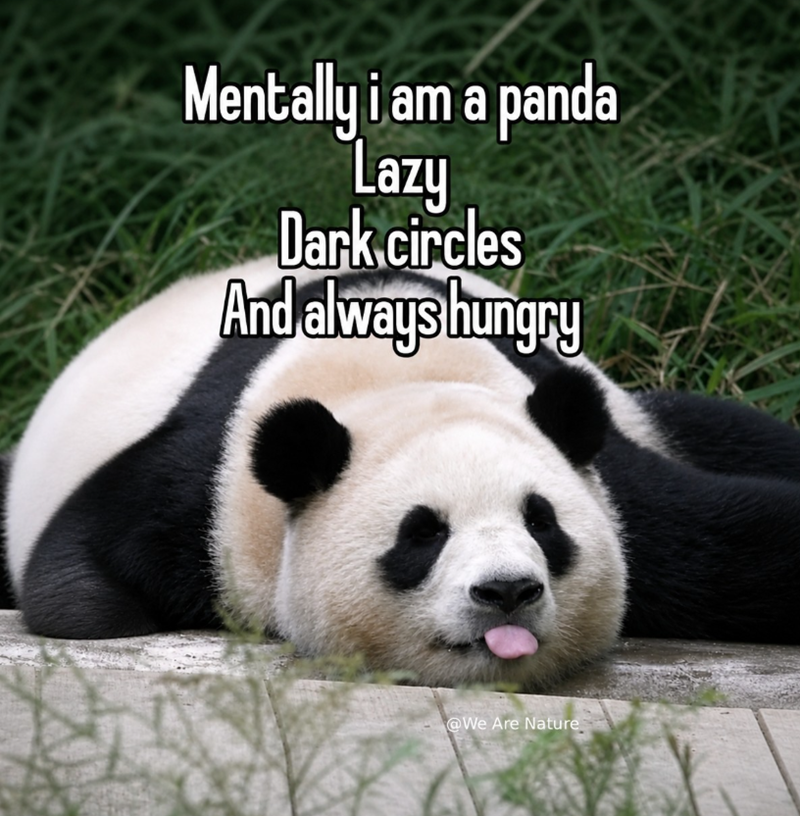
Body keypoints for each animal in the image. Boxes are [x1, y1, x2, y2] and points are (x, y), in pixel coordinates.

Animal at [2, 259, 799, 688]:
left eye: (542, 521)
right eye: (422, 535)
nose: (507, 592)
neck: (393, 371)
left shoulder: (617, 488)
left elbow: (735, 539)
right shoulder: (207, 485)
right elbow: (75, 584)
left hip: (640, 413)